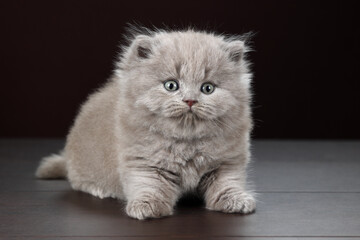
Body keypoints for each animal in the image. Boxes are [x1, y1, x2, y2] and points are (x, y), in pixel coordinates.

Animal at [35, 28, 256, 219]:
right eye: (171, 85)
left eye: (208, 88)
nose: (190, 100)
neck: (187, 142)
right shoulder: (143, 162)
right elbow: (150, 185)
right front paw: (148, 207)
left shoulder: (227, 163)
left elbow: (228, 183)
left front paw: (237, 201)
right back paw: (99, 189)